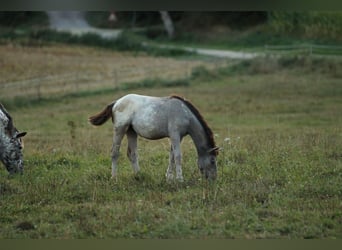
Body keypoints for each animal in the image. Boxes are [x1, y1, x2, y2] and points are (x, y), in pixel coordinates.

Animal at [89, 94, 219, 182]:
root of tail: (116, 102)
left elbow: (171, 156)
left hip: (131, 131)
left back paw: (139, 175)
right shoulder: (175, 135)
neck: (184, 113)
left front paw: (169, 178)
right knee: (115, 152)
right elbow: (178, 156)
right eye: (213, 160)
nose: (213, 179)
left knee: (132, 154)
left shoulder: (178, 137)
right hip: (120, 129)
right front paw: (180, 179)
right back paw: (114, 177)